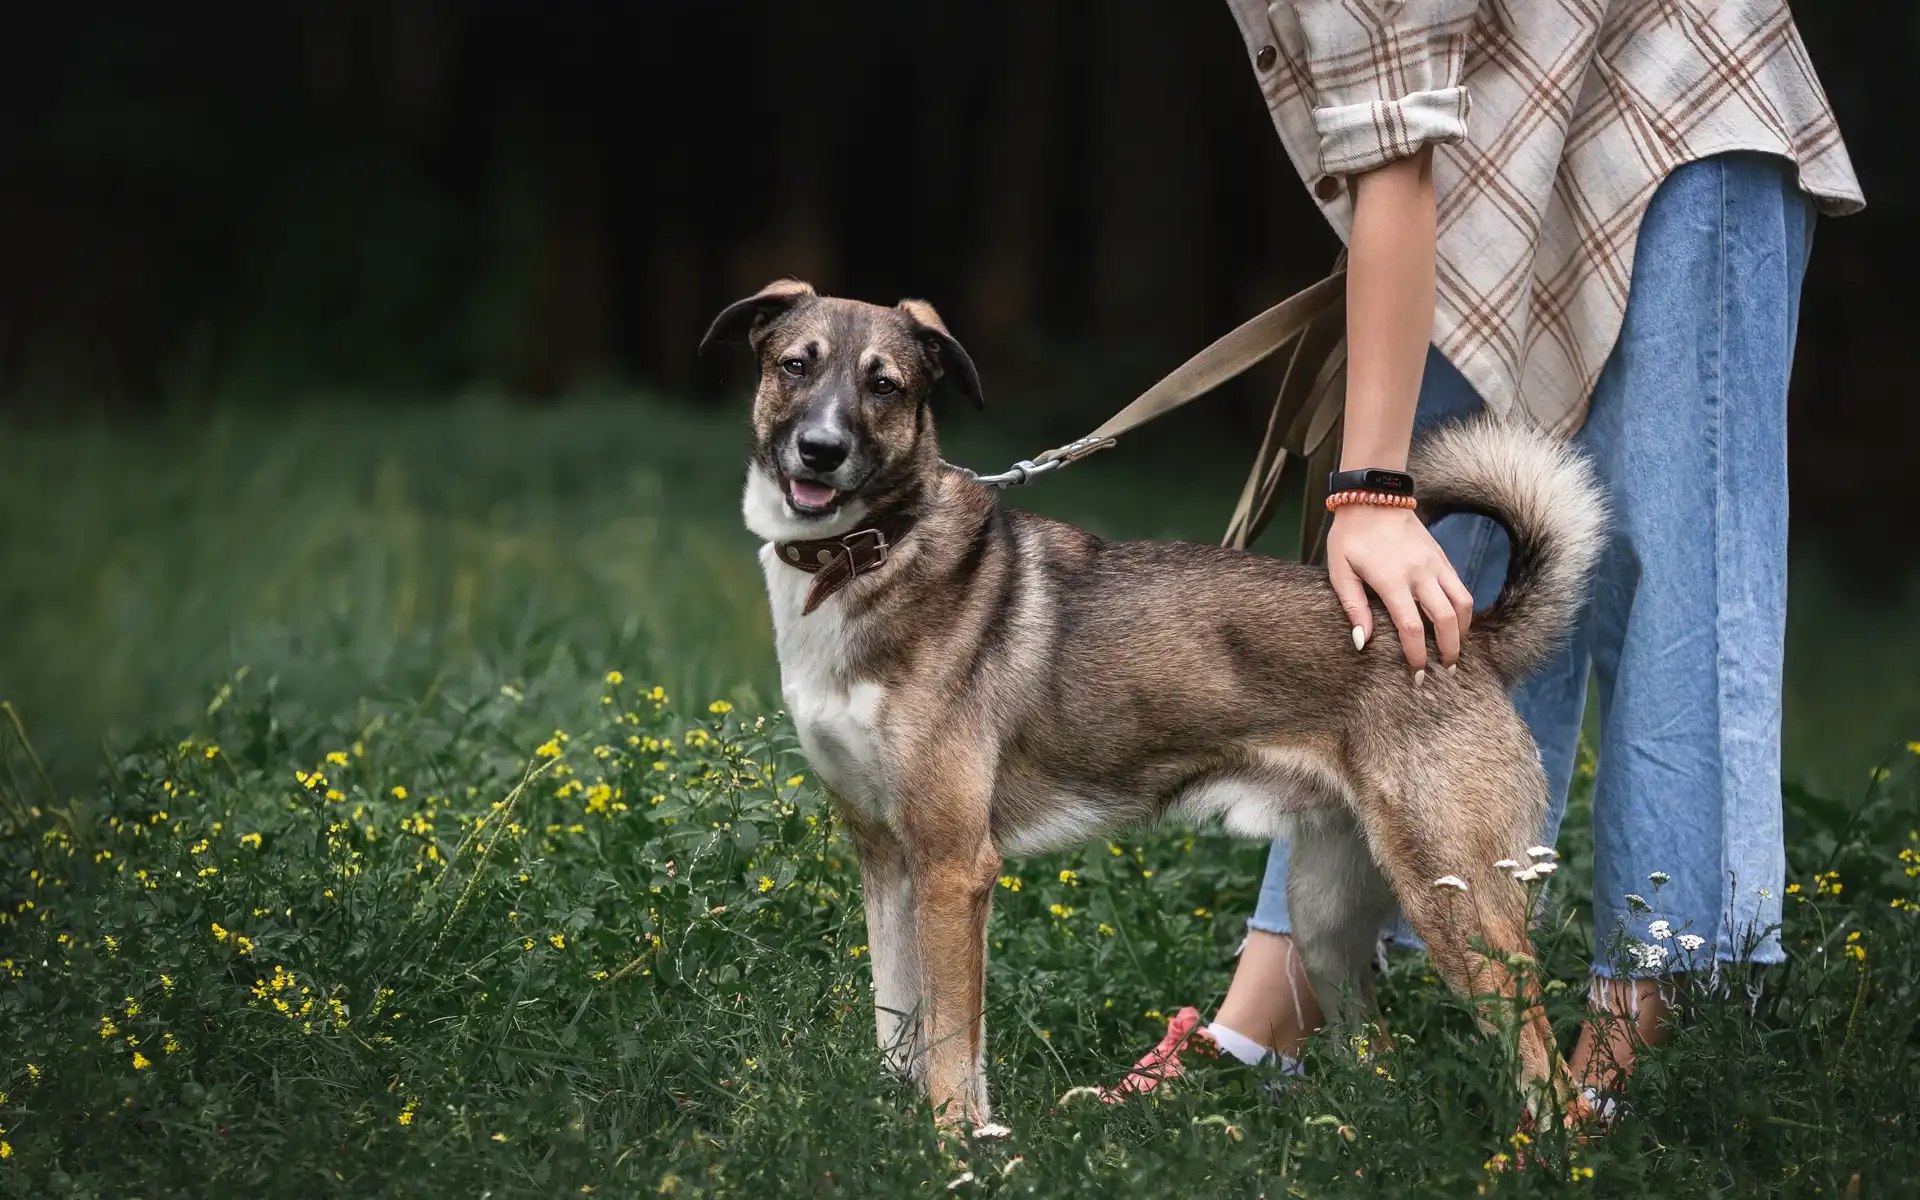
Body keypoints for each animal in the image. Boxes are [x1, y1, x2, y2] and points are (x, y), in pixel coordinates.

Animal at [702, 278, 1605, 1121]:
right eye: (795, 365)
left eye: (884, 385)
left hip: (1461, 905)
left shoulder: (954, 867)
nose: (820, 450)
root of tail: (1472, 638)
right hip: (1324, 920)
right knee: (1377, 1059)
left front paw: (959, 1148)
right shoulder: (886, 856)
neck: (868, 555)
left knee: (1547, 1077)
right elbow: (898, 1028)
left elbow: (953, 1048)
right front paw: (901, 1130)